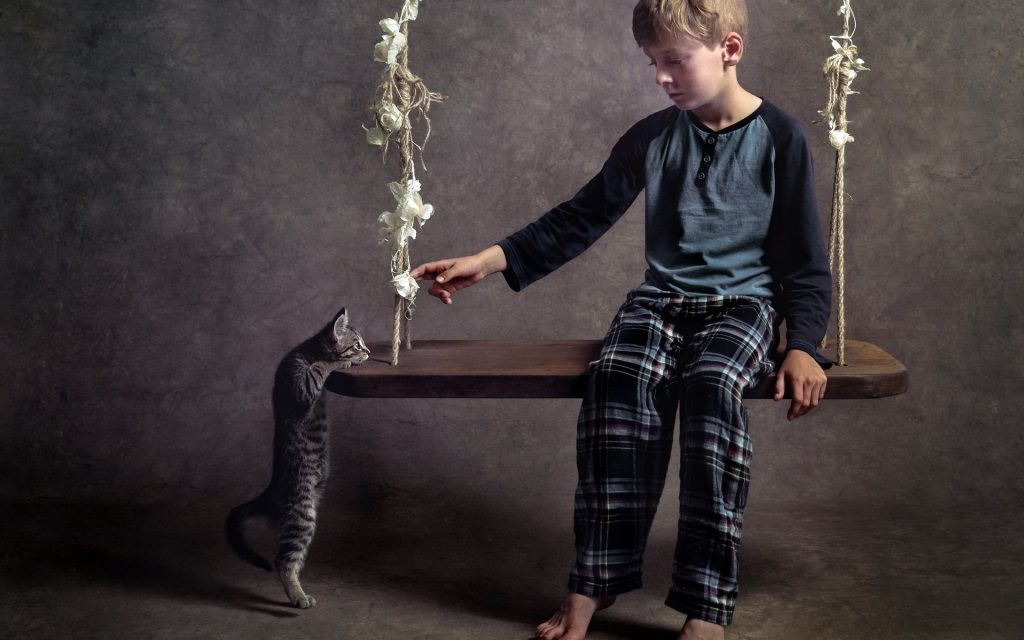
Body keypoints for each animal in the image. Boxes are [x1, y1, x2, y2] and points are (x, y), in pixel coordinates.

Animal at [226, 307, 370, 606]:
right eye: (357, 344)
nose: (369, 351)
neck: (305, 350)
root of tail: (268, 493)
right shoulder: (298, 384)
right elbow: (322, 366)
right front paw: (340, 362)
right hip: (301, 515)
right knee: (283, 561)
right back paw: (298, 596)